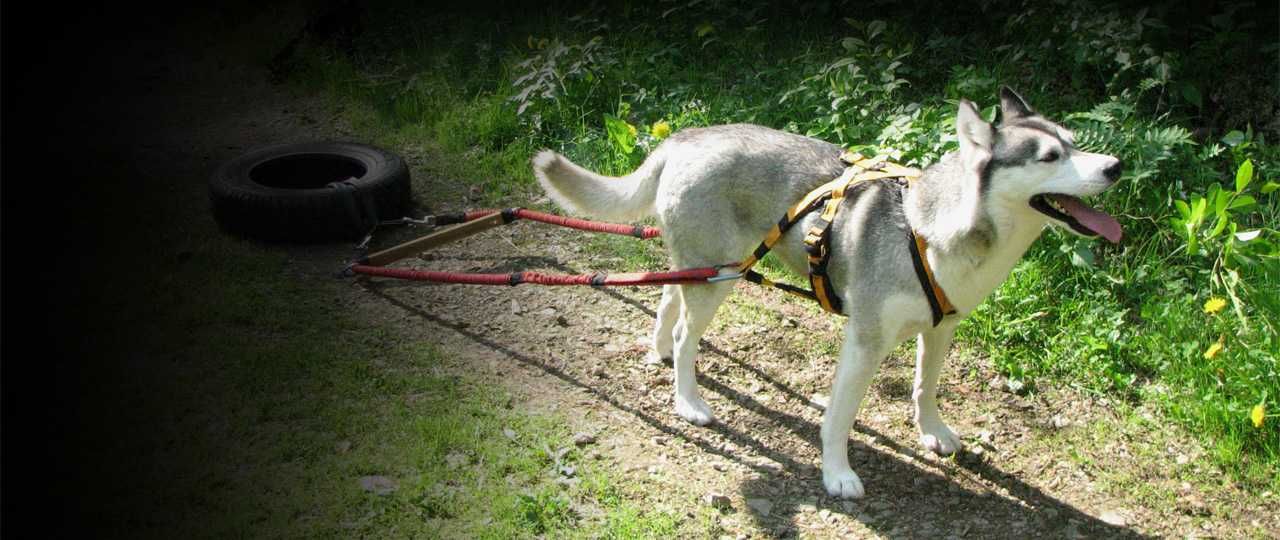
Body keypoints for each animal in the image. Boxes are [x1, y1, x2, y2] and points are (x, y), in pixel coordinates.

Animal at [532, 88, 1121, 499]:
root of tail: (687, 135)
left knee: (667, 300)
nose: (1115, 166)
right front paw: (837, 474)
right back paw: (688, 400)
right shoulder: (865, 341)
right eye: (1049, 156)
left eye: (1074, 142)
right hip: (721, 276)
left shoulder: (941, 328)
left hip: (707, 267)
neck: (933, 228)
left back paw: (658, 353)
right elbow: (839, 417)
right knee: (683, 332)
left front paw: (932, 432)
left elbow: (925, 388)